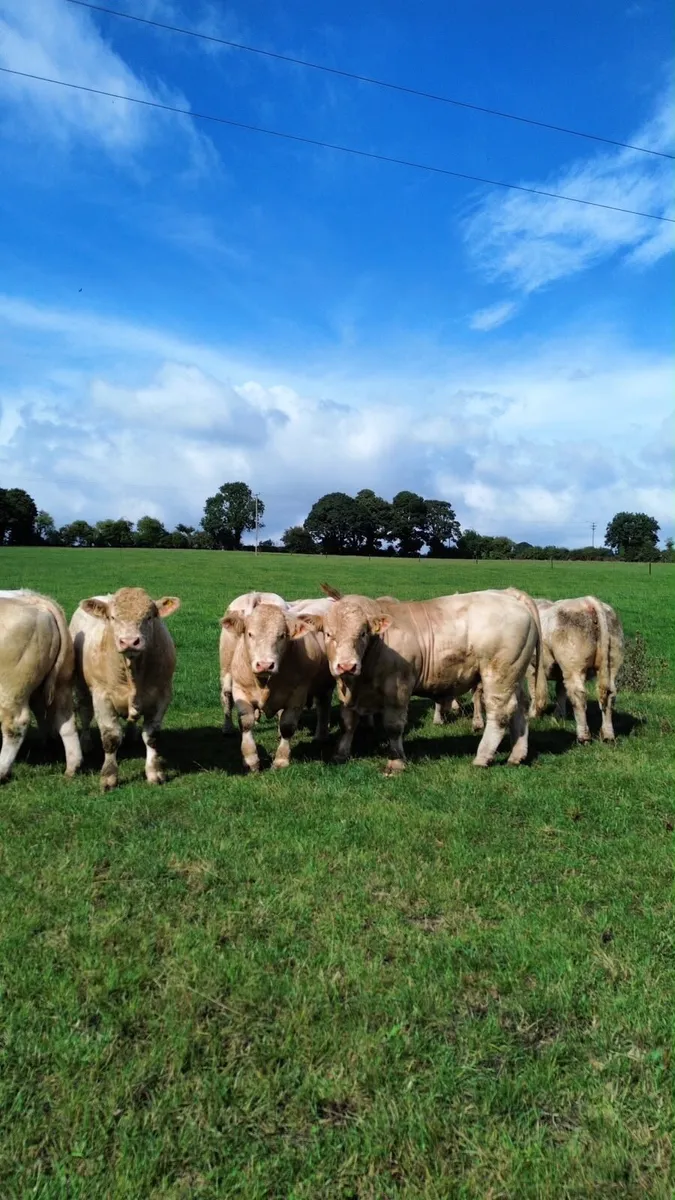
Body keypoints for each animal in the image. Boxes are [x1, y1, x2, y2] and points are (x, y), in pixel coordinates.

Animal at [0, 590, 82, 783]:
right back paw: (71, 767)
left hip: (12, 689)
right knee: (65, 719)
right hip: (62, 683)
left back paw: (2, 771)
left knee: (15, 725)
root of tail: (36, 599)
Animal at [69, 587, 181, 790]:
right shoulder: (102, 696)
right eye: (112, 617)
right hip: (81, 686)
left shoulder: (162, 695)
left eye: (149, 617)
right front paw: (109, 777)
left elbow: (152, 736)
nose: (129, 641)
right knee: (85, 712)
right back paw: (86, 743)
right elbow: (111, 737)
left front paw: (154, 772)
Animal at [221, 603, 333, 772]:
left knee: (323, 706)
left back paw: (321, 736)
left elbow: (287, 726)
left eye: (282, 636)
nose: (265, 665)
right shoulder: (240, 689)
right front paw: (251, 760)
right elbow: (246, 723)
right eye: (250, 634)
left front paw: (281, 760)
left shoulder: (297, 695)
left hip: (326, 684)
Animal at [300, 588, 548, 774]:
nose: (347, 666)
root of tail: (509, 594)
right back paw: (517, 754)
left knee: (499, 712)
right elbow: (348, 722)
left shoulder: (398, 687)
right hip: (514, 674)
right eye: (329, 634)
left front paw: (396, 761)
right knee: (520, 707)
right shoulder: (348, 692)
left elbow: (393, 727)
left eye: (362, 633)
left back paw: (482, 757)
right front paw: (340, 754)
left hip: (498, 675)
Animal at [532, 595, 624, 742]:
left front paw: (533, 714)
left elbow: (534, 690)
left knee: (578, 695)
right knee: (609, 694)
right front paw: (559, 715)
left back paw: (583, 736)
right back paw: (608, 735)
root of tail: (588, 601)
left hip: (574, 666)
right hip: (612, 663)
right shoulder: (560, 670)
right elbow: (560, 690)